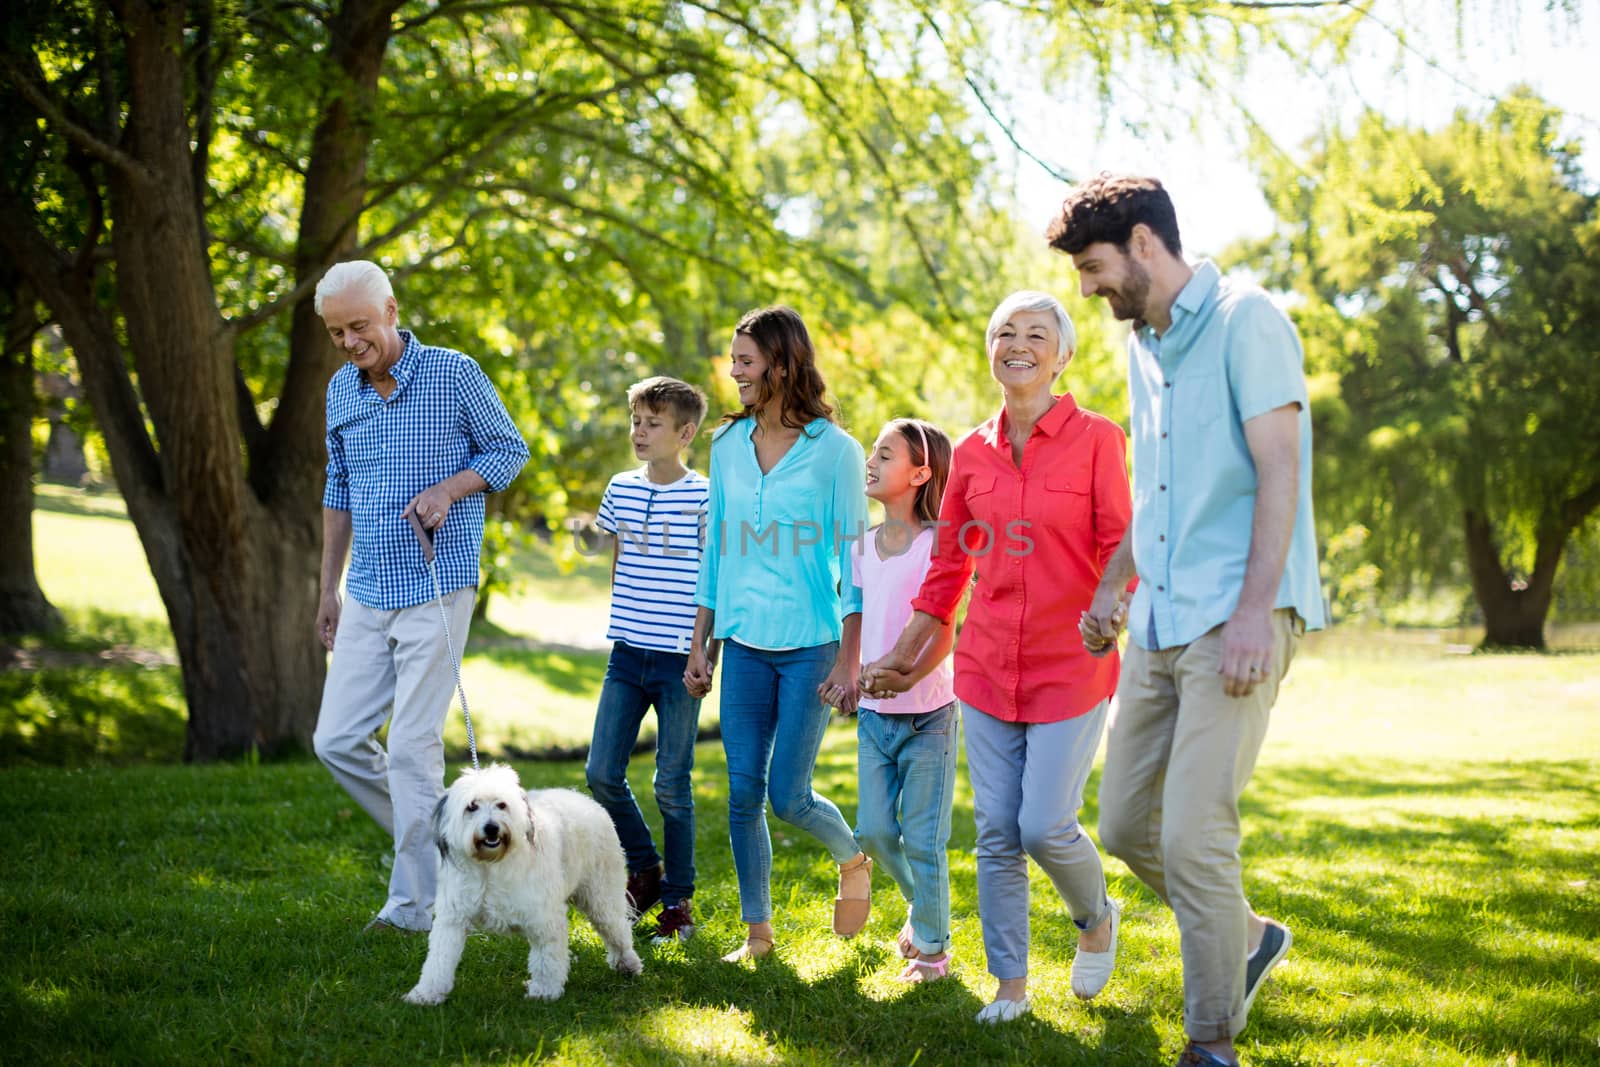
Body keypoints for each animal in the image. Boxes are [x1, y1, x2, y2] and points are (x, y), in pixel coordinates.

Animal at [403, 764, 640, 1004]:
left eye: (501, 805)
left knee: (618, 931)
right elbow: (439, 959)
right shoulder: (452, 918)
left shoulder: (544, 917)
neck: (490, 865)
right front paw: (426, 994)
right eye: (472, 806)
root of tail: (585, 800)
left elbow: (546, 959)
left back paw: (628, 964)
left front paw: (544, 991)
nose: (491, 828)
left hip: (602, 900)